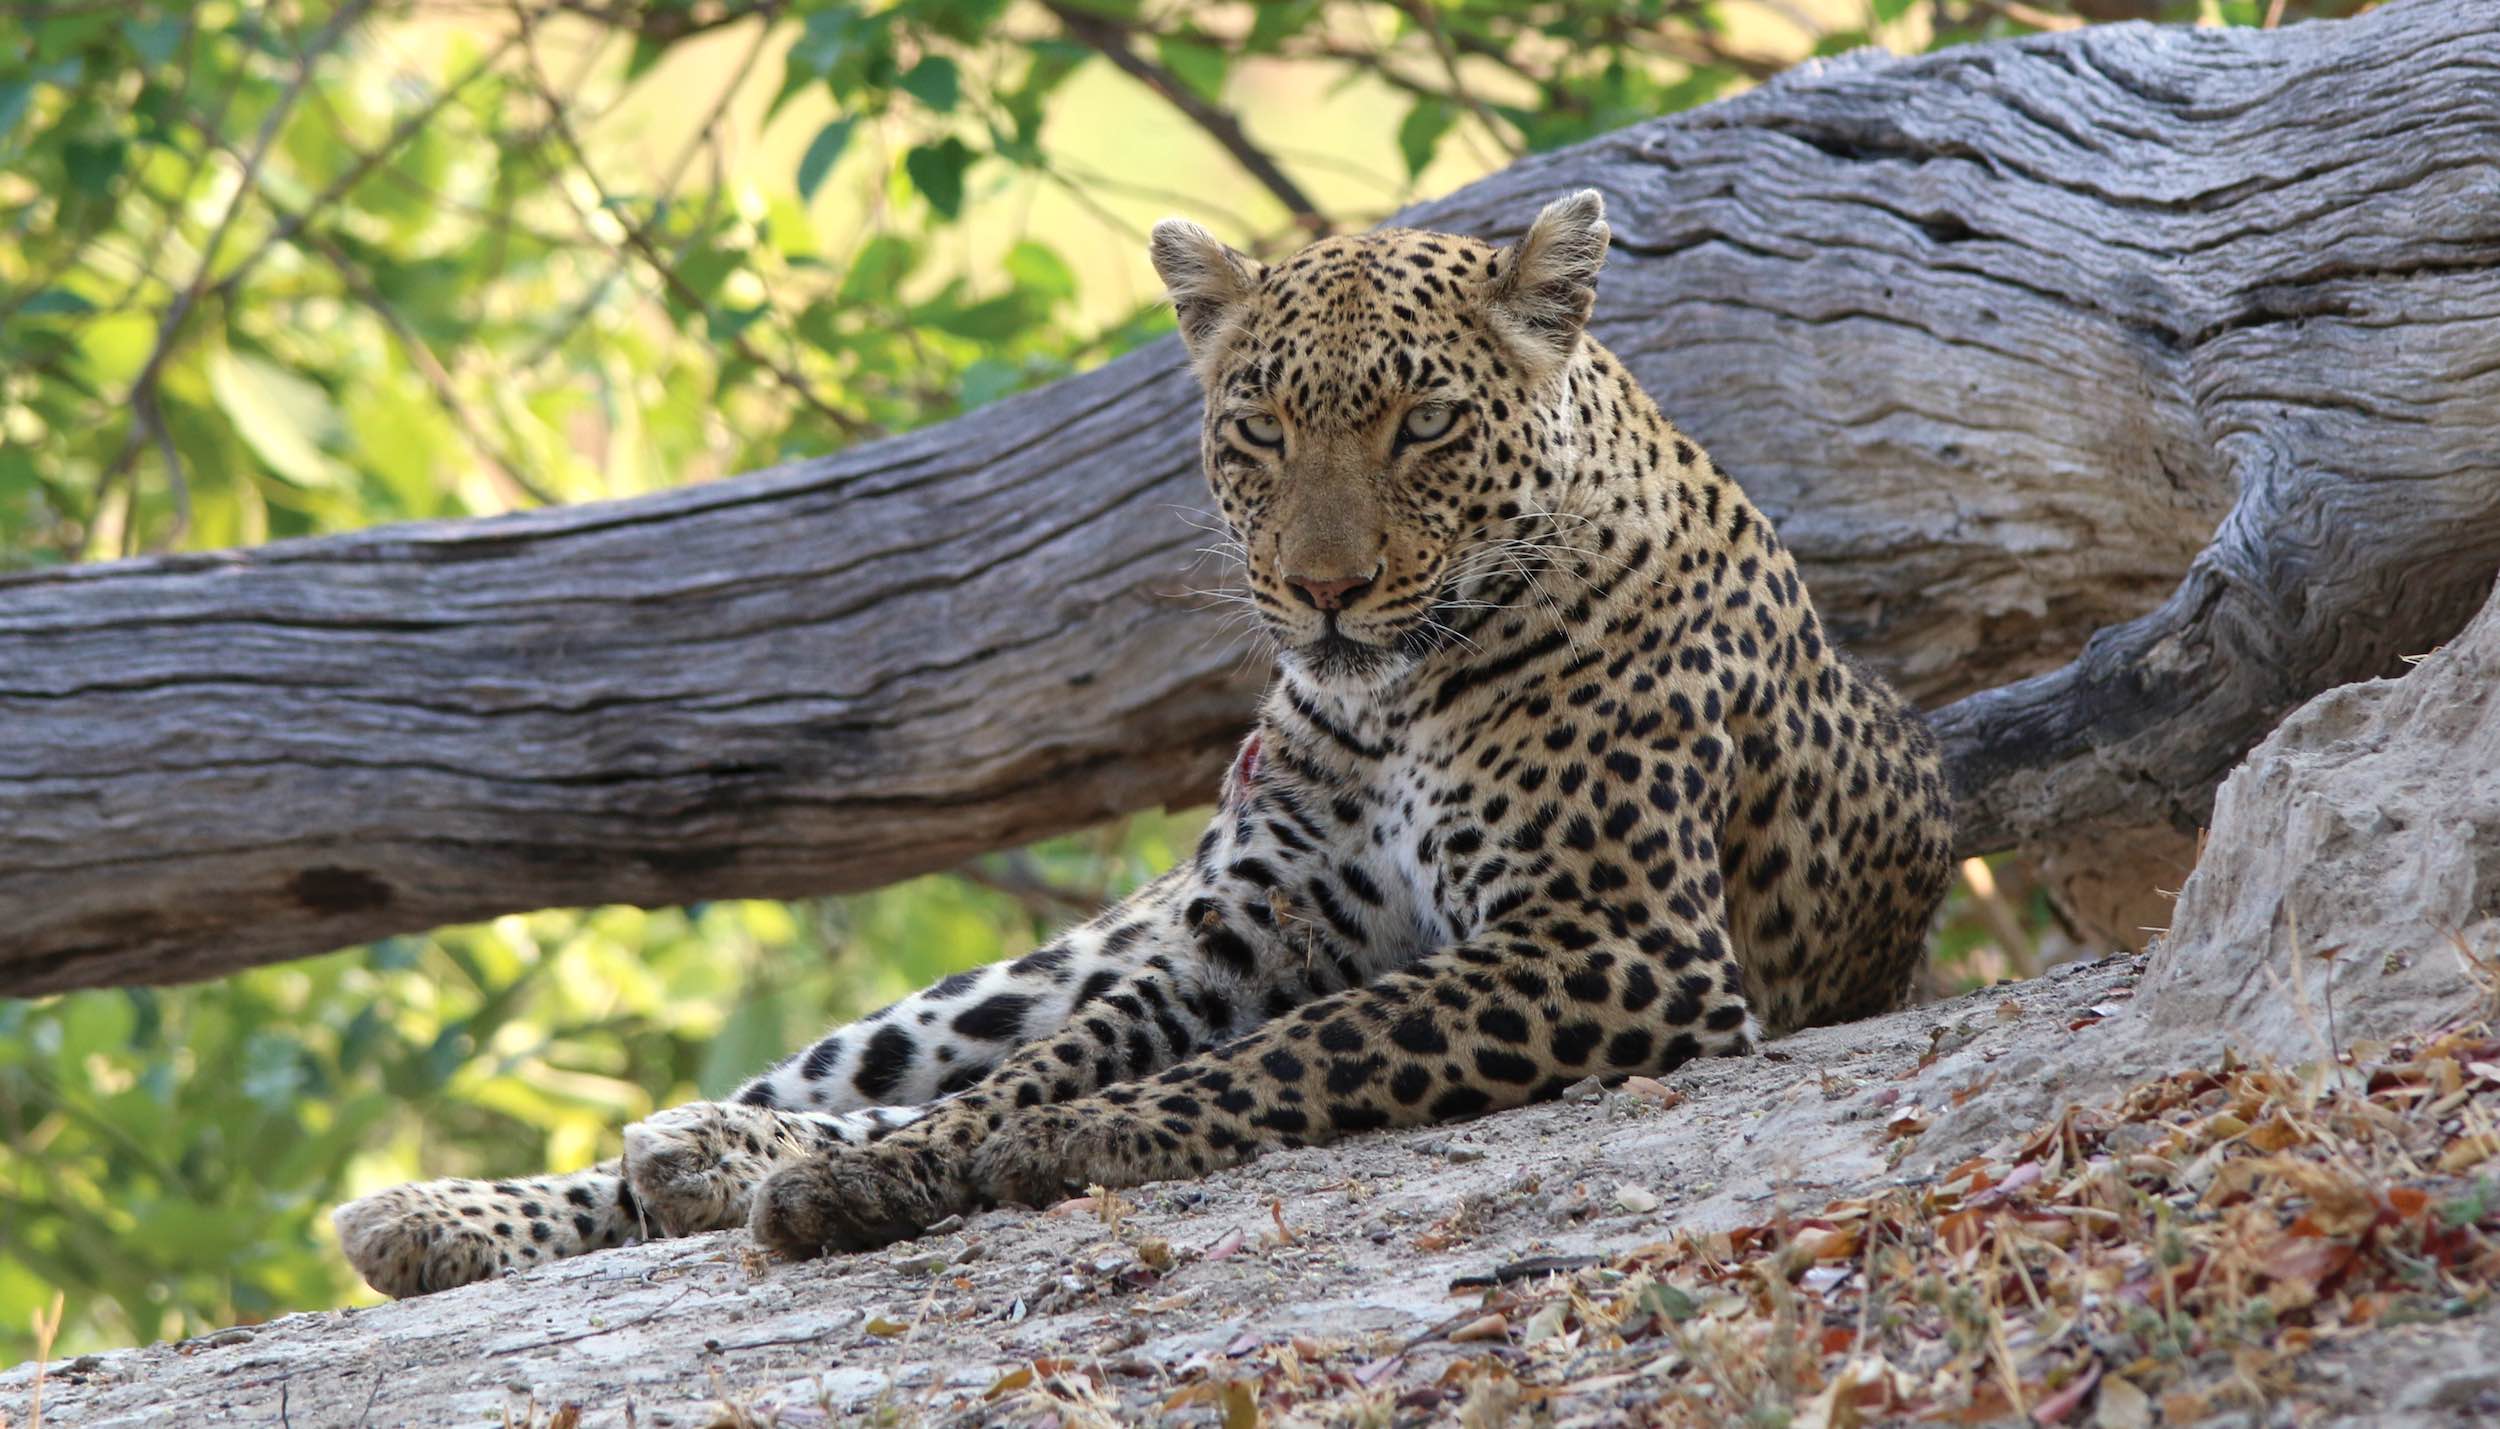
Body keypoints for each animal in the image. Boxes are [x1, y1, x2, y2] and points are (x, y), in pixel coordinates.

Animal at [332, 192, 1950, 1309]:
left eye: (1427, 424)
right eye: (1260, 427)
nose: (1324, 587)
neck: (1394, 700)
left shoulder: (1617, 939)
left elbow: (1307, 1042)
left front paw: (1030, 1154)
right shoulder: (1248, 930)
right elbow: (1077, 1056)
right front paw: (902, 1168)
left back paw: (702, 1163)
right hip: (1037, 960)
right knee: (850, 1075)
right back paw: (476, 1206)